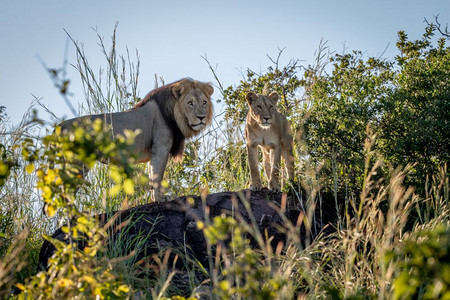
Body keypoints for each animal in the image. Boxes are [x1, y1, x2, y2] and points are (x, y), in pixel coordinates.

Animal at [57, 78, 213, 202]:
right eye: (190, 103)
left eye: (204, 102)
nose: (201, 117)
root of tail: (60, 126)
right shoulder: (161, 147)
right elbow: (157, 176)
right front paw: (161, 198)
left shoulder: (154, 152)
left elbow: (152, 175)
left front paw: (154, 199)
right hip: (77, 165)